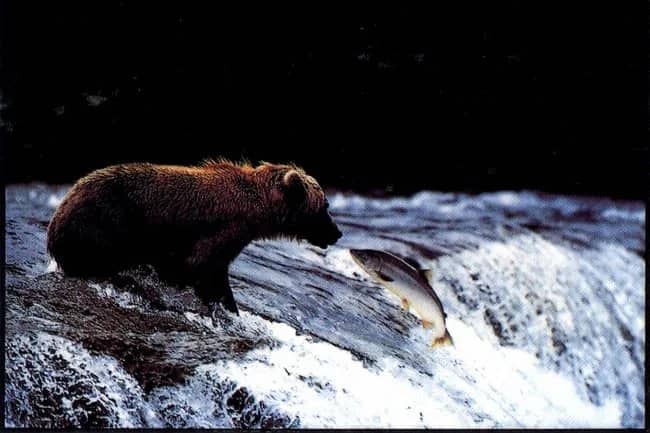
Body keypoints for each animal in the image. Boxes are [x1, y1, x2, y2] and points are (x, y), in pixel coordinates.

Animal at [46, 159, 342, 314]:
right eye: (325, 205)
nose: (337, 233)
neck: (257, 211)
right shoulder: (222, 232)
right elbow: (203, 268)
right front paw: (225, 305)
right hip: (105, 225)